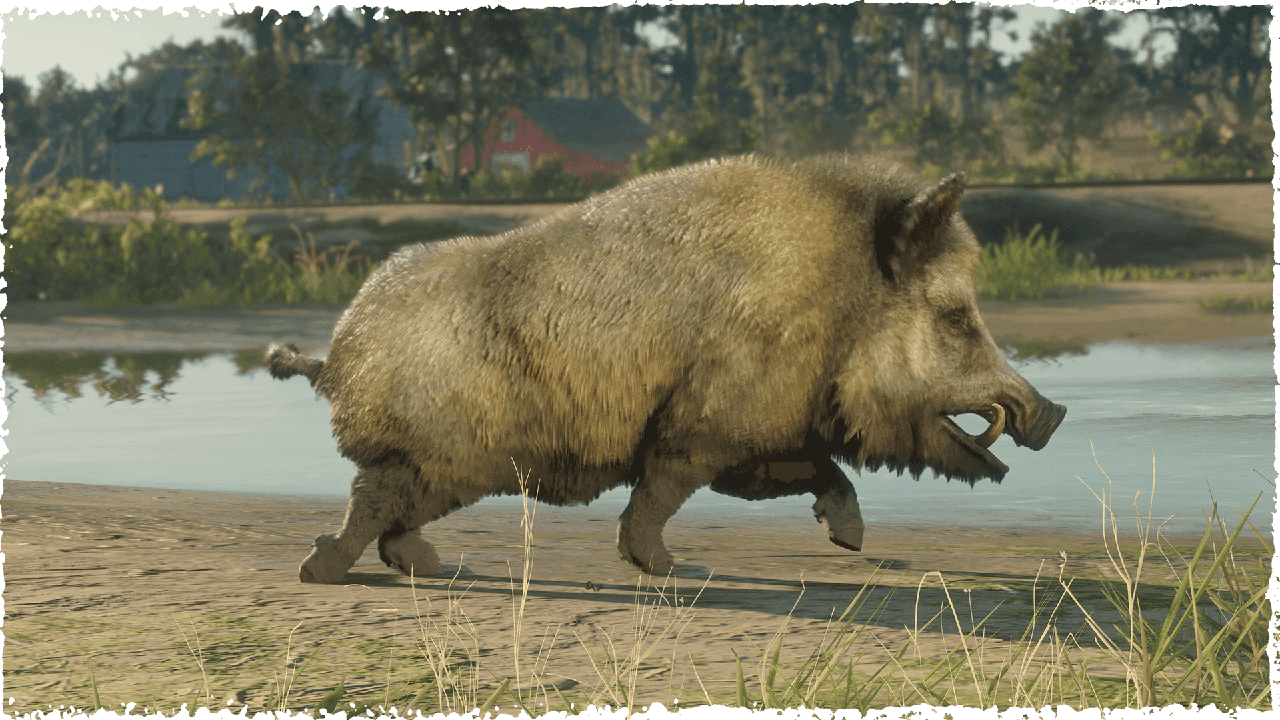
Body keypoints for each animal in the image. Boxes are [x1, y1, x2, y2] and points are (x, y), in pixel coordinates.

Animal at [266, 153, 1067, 583]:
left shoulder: (762, 438)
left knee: (394, 518)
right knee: (368, 503)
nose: (1053, 411)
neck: (835, 304)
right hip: (421, 454)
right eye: (957, 317)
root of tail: (338, 351)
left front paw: (850, 541)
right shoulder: (707, 422)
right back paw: (321, 572)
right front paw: (674, 571)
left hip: (448, 467)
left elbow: (817, 472)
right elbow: (661, 491)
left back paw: (433, 570)